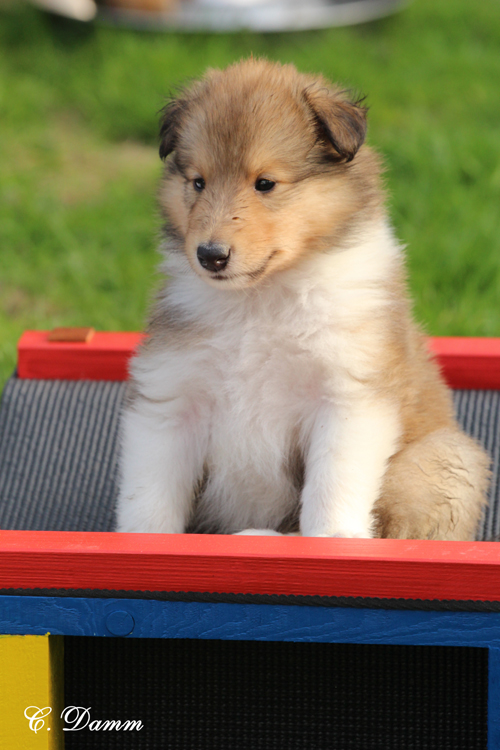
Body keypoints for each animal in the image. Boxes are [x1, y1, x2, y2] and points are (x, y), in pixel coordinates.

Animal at [116, 59, 490, 539]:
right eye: (198, 182)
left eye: (265, 183)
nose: (210, 256)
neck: (260, 300)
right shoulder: (172, 397)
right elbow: (149, 493)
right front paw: (143, 541)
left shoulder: (348, 395)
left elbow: (333, 484)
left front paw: (334, 540)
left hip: (444, 462)